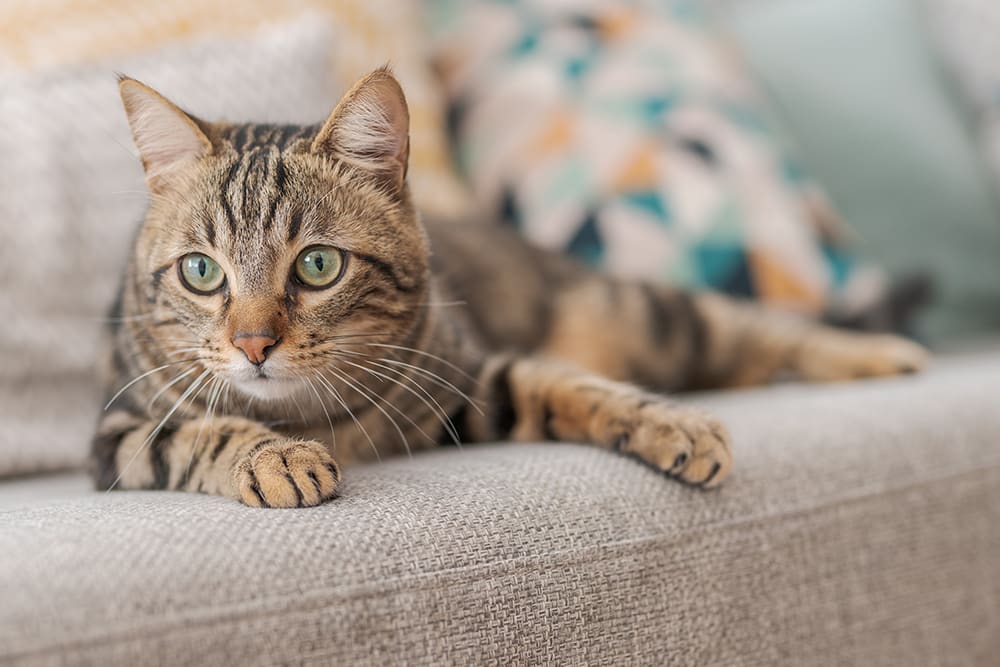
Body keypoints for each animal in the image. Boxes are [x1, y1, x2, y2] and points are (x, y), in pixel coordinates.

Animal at [94, 66, 928, 506]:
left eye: (318, 265)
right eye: (202, 271)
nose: (253, 344)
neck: (311, 412)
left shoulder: (470, 379)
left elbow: (569, 384)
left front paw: (671, 423)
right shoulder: (118, 436)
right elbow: (201, 430)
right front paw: (274, 457)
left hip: (646, 312)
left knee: (759, 328)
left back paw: (879, 353)